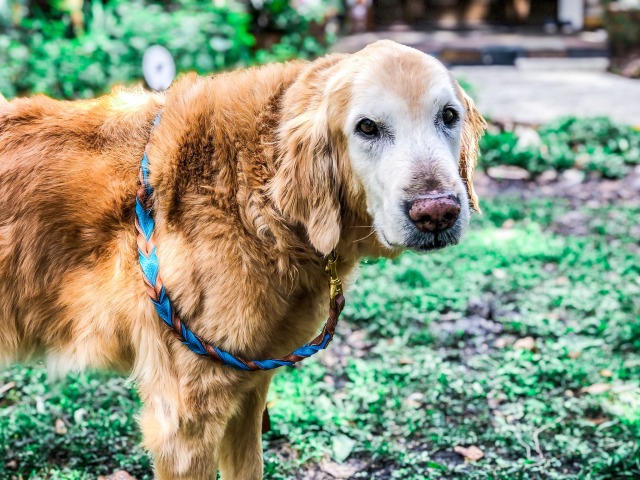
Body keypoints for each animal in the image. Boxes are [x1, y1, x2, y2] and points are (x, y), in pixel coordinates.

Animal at [0, 39, 480, 478]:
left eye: (448, 117)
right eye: (367, 127)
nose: (437, 212)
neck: (255, 194)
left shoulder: (250, 385)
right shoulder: (185, 420)